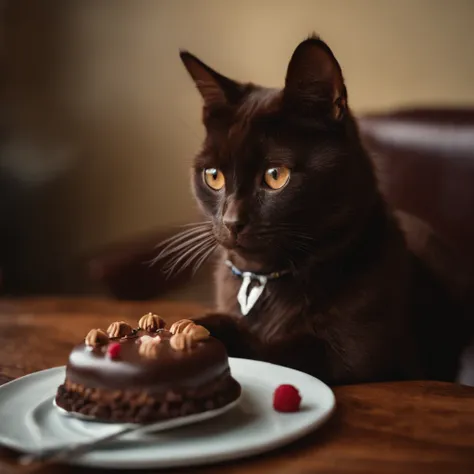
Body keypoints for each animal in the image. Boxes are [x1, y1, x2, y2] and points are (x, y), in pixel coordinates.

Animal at [172, 36, 472, 386]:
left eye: (276, 176)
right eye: (213, 176)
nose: (232, 221)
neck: (267, 281)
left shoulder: (360, 356)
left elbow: (278, 350)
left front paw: (210, 332)